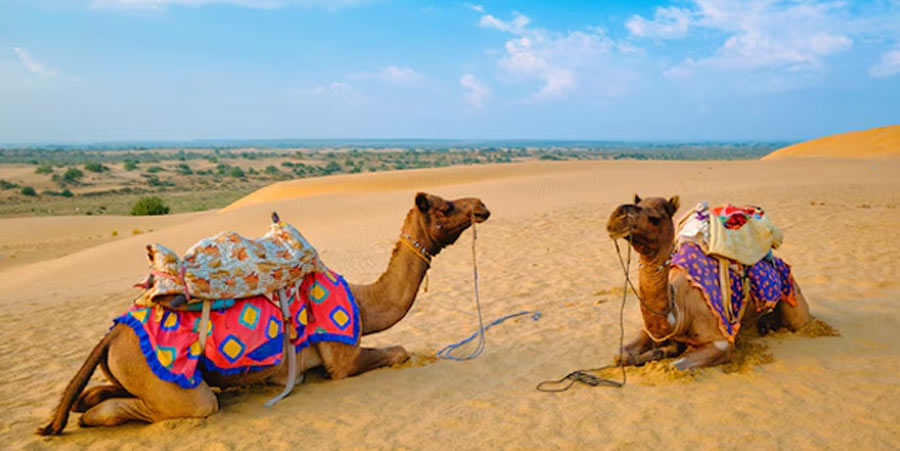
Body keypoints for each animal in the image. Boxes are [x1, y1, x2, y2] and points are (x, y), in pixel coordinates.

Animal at [39, 192, 490, 435]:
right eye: (446, 207)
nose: (481, 206)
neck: (364, 300)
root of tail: (112, 334)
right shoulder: (341, 358)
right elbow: (398, 351)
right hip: (173, 384)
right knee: (188, 404)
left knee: (96, 394)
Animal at [605, 194, 811, 370]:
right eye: (639, 205)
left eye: (654, 219)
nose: (617, 216)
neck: (680, 311)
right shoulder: (651, 331)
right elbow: (621, 355)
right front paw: (663, 350)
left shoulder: (720, 342)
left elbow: (674, 366)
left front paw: (667, 352)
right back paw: (764, 324)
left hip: (793, 295)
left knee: (795, 320)